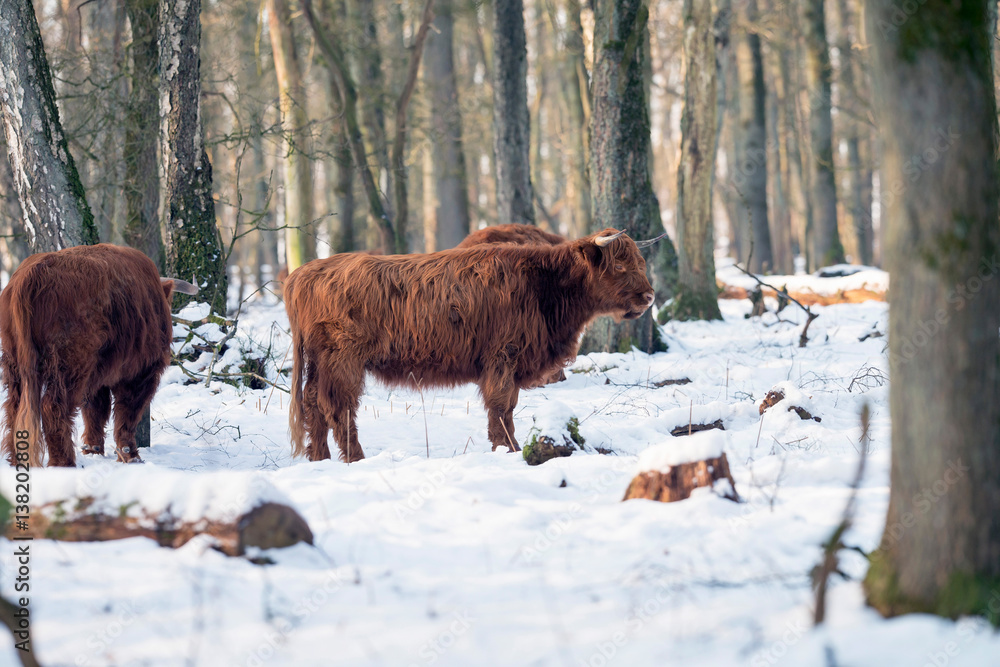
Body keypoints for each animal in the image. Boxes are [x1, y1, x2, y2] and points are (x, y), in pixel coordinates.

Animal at [0, 244, 198, 467]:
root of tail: (31, 274)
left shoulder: (99, 373)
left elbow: (95, 409)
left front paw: (92, 448)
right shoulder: (140, 371)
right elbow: (127, 411)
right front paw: (130, 453)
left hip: (14, 362)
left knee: (14, 407)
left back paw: (17, 459)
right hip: (71, 363)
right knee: (53, 407)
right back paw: (64, 462)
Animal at [284, 228, 666, 462]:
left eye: (641, 262)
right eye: (619, 265)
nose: (649, 297)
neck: (545, 286)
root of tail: (306, 272)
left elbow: (508, 407)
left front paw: (508, 446)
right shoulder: (503, 357)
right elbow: (500, 406)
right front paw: (507, 448)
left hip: (319, 361)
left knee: (313, 403)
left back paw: (319, 457)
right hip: (343, 359)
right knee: (338, 407)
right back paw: (356, 458)